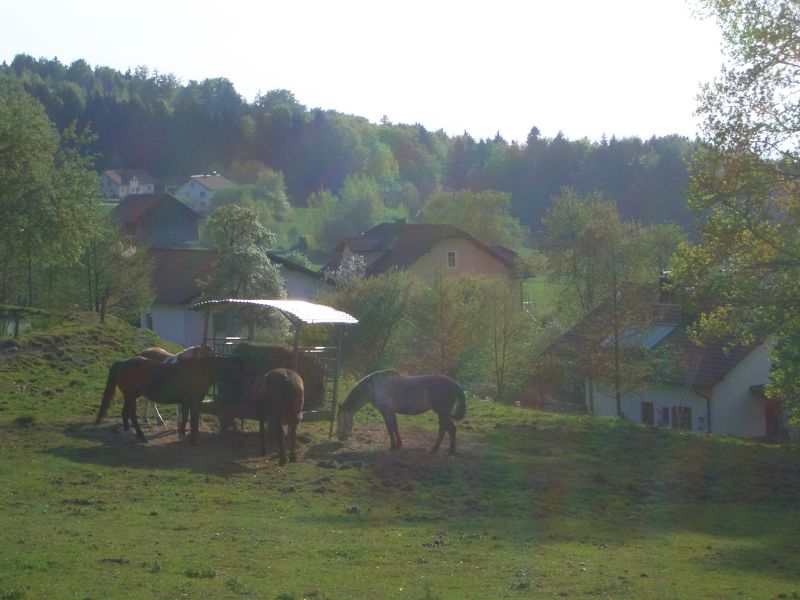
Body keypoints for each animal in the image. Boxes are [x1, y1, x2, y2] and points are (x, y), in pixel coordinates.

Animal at [94, 352, 238, 446]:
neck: (198, 372)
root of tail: (123, 363)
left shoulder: (186, 402)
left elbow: (185, 418)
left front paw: (182, 435)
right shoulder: (193, 402)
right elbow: (193, 421)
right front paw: (193, 440)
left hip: (130, 397)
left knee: (125, 413)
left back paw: (129, 433)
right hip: (131, 396)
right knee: (132, 416)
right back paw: (142, 437)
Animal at [332, 368, 468, 458]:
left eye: (340, 420)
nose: (339, 437)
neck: (374, 388)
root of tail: (455, 384)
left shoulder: (386, 411)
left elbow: (390, 428)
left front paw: (393, 446)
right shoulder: (390, 412)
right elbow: (395, 427)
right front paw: (398, 444)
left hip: (442, 412)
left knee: (446, 429)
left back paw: (438, 450)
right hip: (442, 413)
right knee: (449, 429)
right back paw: (449, 452)